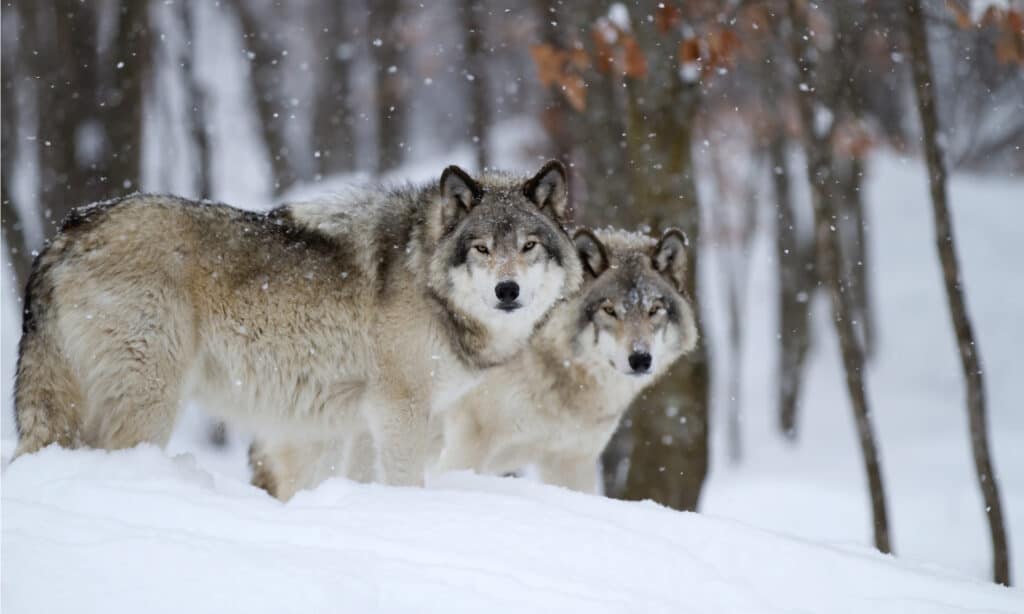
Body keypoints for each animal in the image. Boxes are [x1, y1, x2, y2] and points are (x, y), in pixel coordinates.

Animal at [14, 160, 585, 487]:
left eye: (528, 246)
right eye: (482, 249)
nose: (507, 291)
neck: (425, 273)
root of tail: (64, 233)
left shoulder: (362, 420)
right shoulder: (400, 410)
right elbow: (405, 482)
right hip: (149, 401)